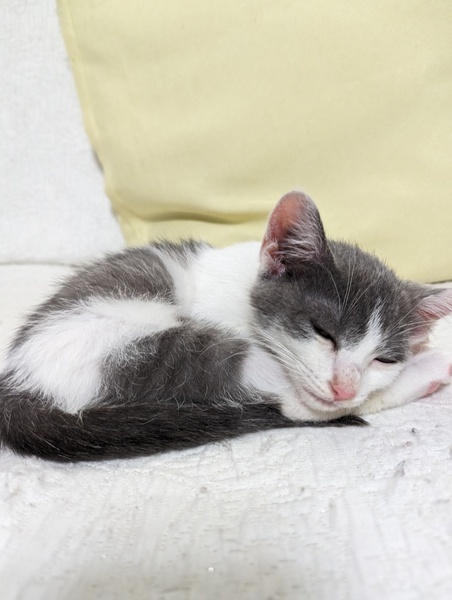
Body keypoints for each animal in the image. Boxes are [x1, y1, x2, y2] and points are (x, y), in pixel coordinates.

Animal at [0, 191, 451, 462]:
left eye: (383, 359)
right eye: (323, 331)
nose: (345, 387)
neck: (244, 288)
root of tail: (18, 383)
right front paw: (422, 361)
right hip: (145, 350)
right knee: (292, 403)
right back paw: (430, 370)